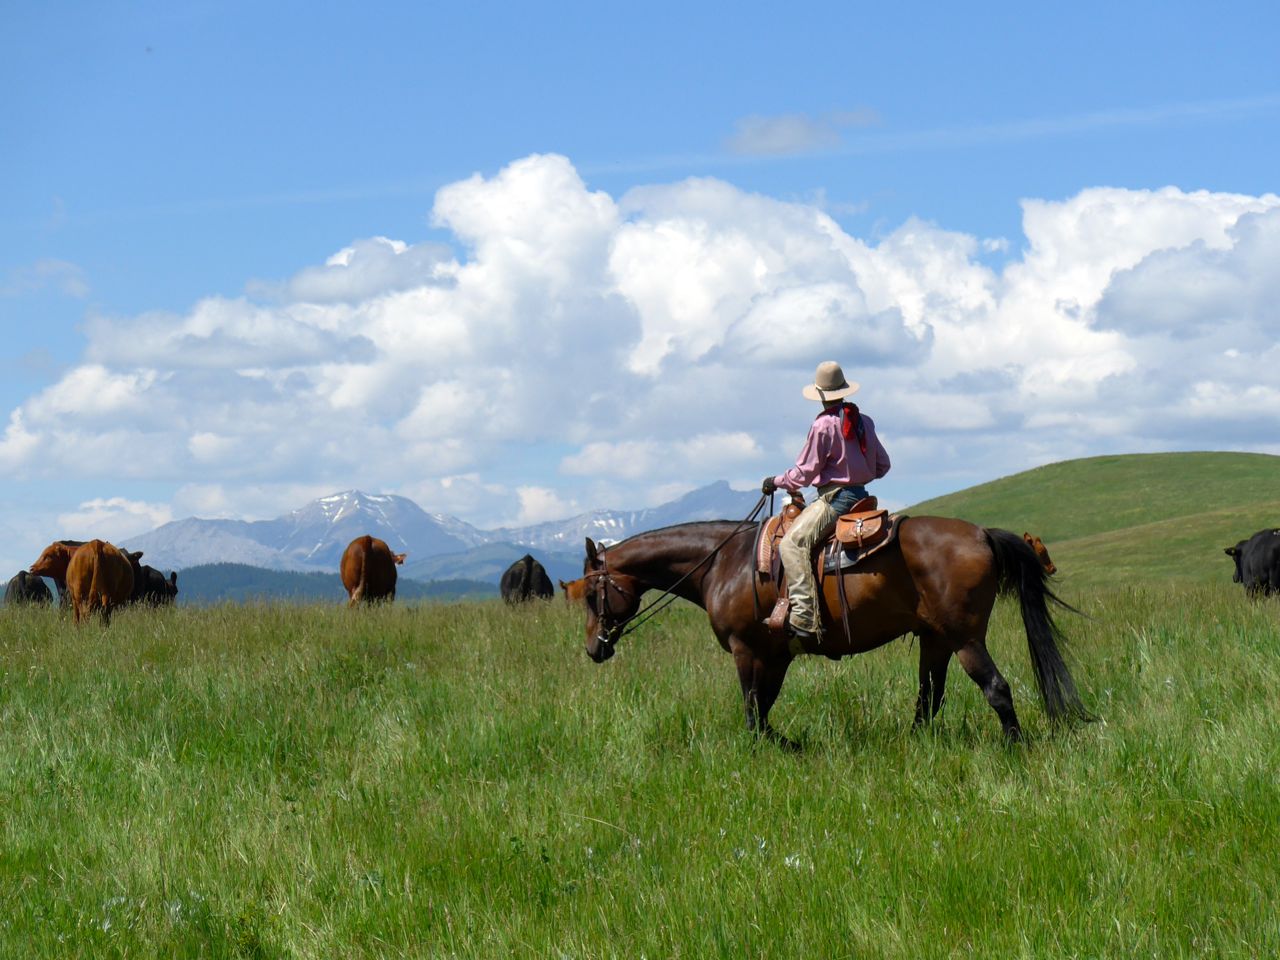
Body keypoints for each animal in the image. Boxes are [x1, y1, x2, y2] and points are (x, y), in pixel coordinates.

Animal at [581, 519, 1090, 742]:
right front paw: (787, 745)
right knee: (929, 698)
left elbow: (752, 711)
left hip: (965, 640)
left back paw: (1014, 747)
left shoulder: (747, 651)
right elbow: (764, 709)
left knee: (996, 689)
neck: (723, 564)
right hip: (936, 641)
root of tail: (981, 533)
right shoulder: (776, 656)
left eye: (589, 595)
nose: (592, 649)